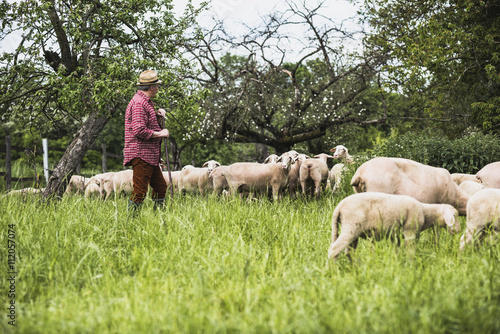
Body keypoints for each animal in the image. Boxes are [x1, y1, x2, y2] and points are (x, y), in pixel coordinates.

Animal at [328, 190, 460, 260]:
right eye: (455, 215)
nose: (458, 230)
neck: (424, 211)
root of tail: (339, 206)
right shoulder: (410, 232)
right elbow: (410, 252)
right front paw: (410, 266)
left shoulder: (395, 235)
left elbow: (396, 251)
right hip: (351, 226)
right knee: (334, 250)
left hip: (353, 230)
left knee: (349, 252)